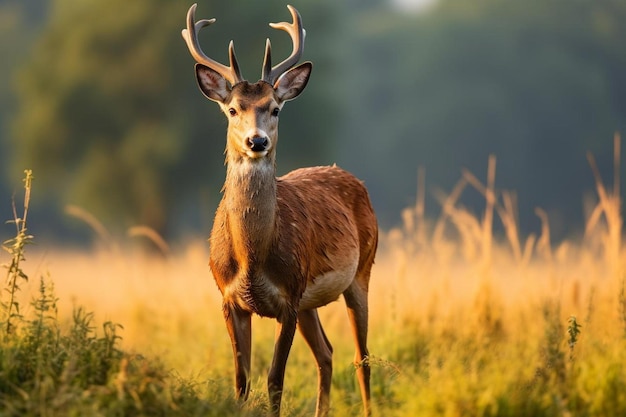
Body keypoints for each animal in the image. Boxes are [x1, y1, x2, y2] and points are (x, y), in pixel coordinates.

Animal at [180, 4, 376, 416]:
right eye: (232, 109)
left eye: (275, 109)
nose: (257, 141)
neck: (252, 257)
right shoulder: (229, 298)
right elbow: (241, 382)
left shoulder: (288, 298)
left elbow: (274, 381)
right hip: (310, 302)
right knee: (327, 354)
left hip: (362, 271)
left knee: (361, 357)